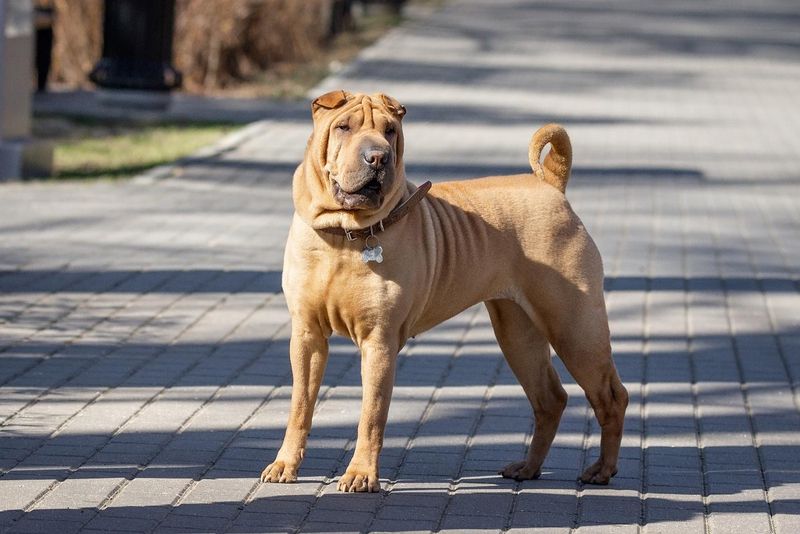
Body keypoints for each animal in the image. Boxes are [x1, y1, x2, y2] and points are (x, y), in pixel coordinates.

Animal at [260, 91, 628, 494]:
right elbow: (300, 405)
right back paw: (528, 468)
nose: (378, 157)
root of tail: (550, 184)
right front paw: (284, 465)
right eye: (344, 127)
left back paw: (602, 470)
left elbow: (371, 414)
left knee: (611, 397)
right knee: (550, 399)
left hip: (574, 329)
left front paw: (361, 474)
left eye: (390, 131)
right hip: (518, 333)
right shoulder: (307, 336)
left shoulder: (379, 341)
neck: (344, 234)